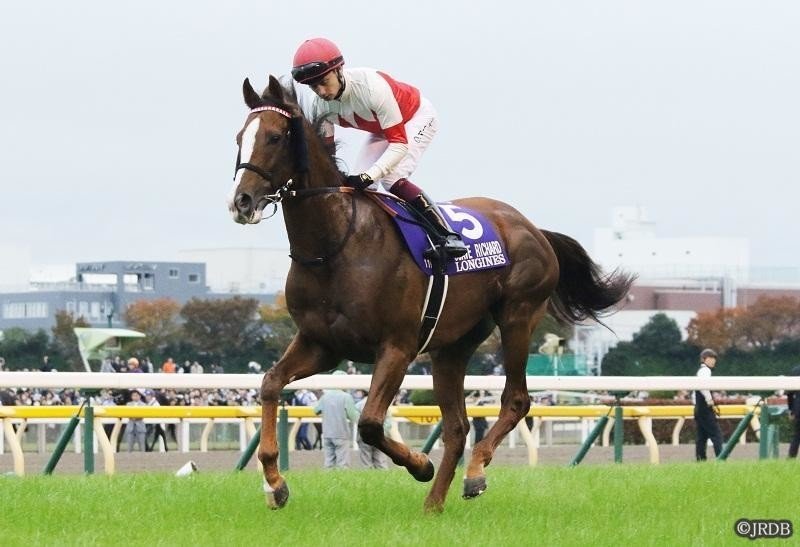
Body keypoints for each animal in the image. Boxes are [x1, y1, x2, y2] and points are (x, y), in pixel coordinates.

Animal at [229, 75, 635, 513]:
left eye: (274, 137)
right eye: (239, 137)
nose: (241, 202)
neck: (337, 243)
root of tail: (532, 228)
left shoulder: (397, 346)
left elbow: (370, 423)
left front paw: (420, 464)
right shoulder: (322, 344)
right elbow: (271, 383)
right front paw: (275, 482)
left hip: (518, 315)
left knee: (515, 400)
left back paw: (474, 473)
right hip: (452, 347)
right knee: (457, 426)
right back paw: (434, 503)